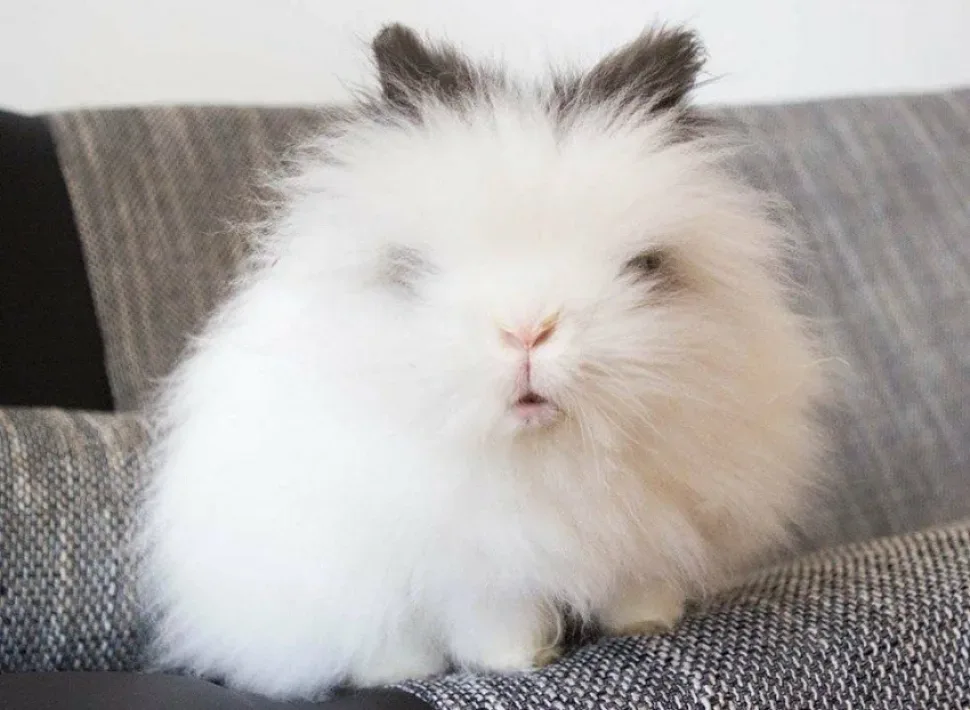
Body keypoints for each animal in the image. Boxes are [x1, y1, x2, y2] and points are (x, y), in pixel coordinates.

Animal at [136, 22, 827, 701]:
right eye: (414, 268)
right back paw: (402, 673)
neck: (546, 459)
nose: (528, 330)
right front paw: (522, 661)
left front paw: (651, 624)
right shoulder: (477, 569)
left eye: (644, 265)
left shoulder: (653, 534)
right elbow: (496, 620)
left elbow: (639, 586)